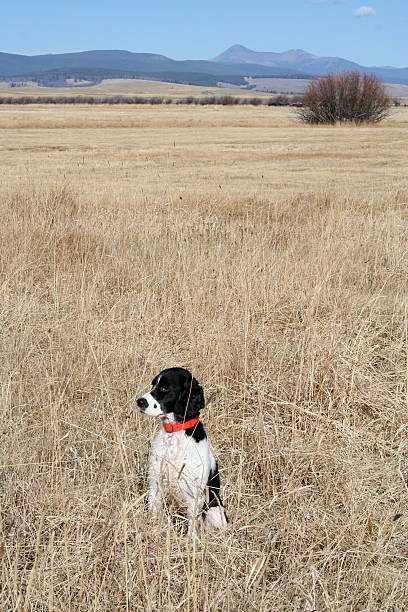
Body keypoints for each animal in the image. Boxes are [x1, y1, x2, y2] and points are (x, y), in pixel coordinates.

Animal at [135, 368, 228, 532]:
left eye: (164, 388)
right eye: (153, 384)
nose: (140, 401)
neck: (175, 434)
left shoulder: (195, 495)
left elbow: (192, 527)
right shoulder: (155, 485)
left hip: (216, 510)